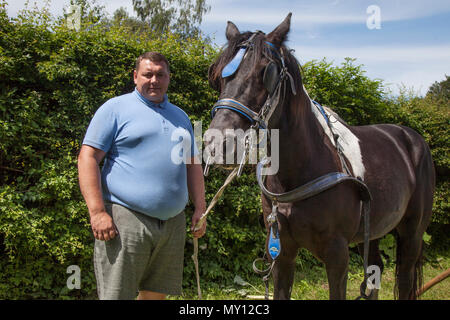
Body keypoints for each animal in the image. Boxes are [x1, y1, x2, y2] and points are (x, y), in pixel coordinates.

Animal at [205, 13, 436, 300]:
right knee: (375, 269)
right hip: (372, 231)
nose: (217, 144)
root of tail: (412, 137)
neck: (300, 170)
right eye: (218, 77)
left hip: (412, 232)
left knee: (404, 277)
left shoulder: (337, 254)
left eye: (265, 72)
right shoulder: (282, 252)